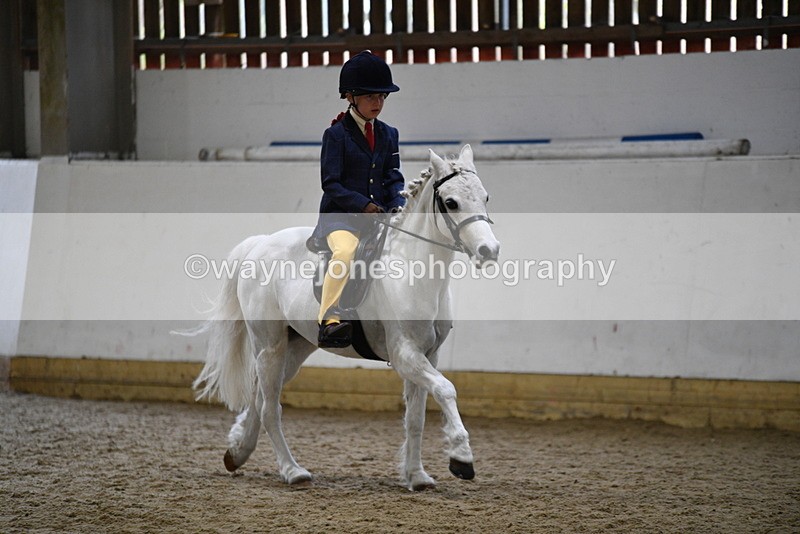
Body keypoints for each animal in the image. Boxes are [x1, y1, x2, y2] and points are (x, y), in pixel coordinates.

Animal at [191, 144, 500, 491]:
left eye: (485, 197)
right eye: (451, 202)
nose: (489, 250)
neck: (414, 269)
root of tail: (261, 243)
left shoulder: (427, 354)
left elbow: (416, 417)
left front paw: (416, 475)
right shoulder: (405, 353)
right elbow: (446, 390)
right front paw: (461, 458)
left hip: (294, 348)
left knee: (259, 397)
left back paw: (237, 451)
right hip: (270, 345)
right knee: (270, 408)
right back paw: (292, 471)